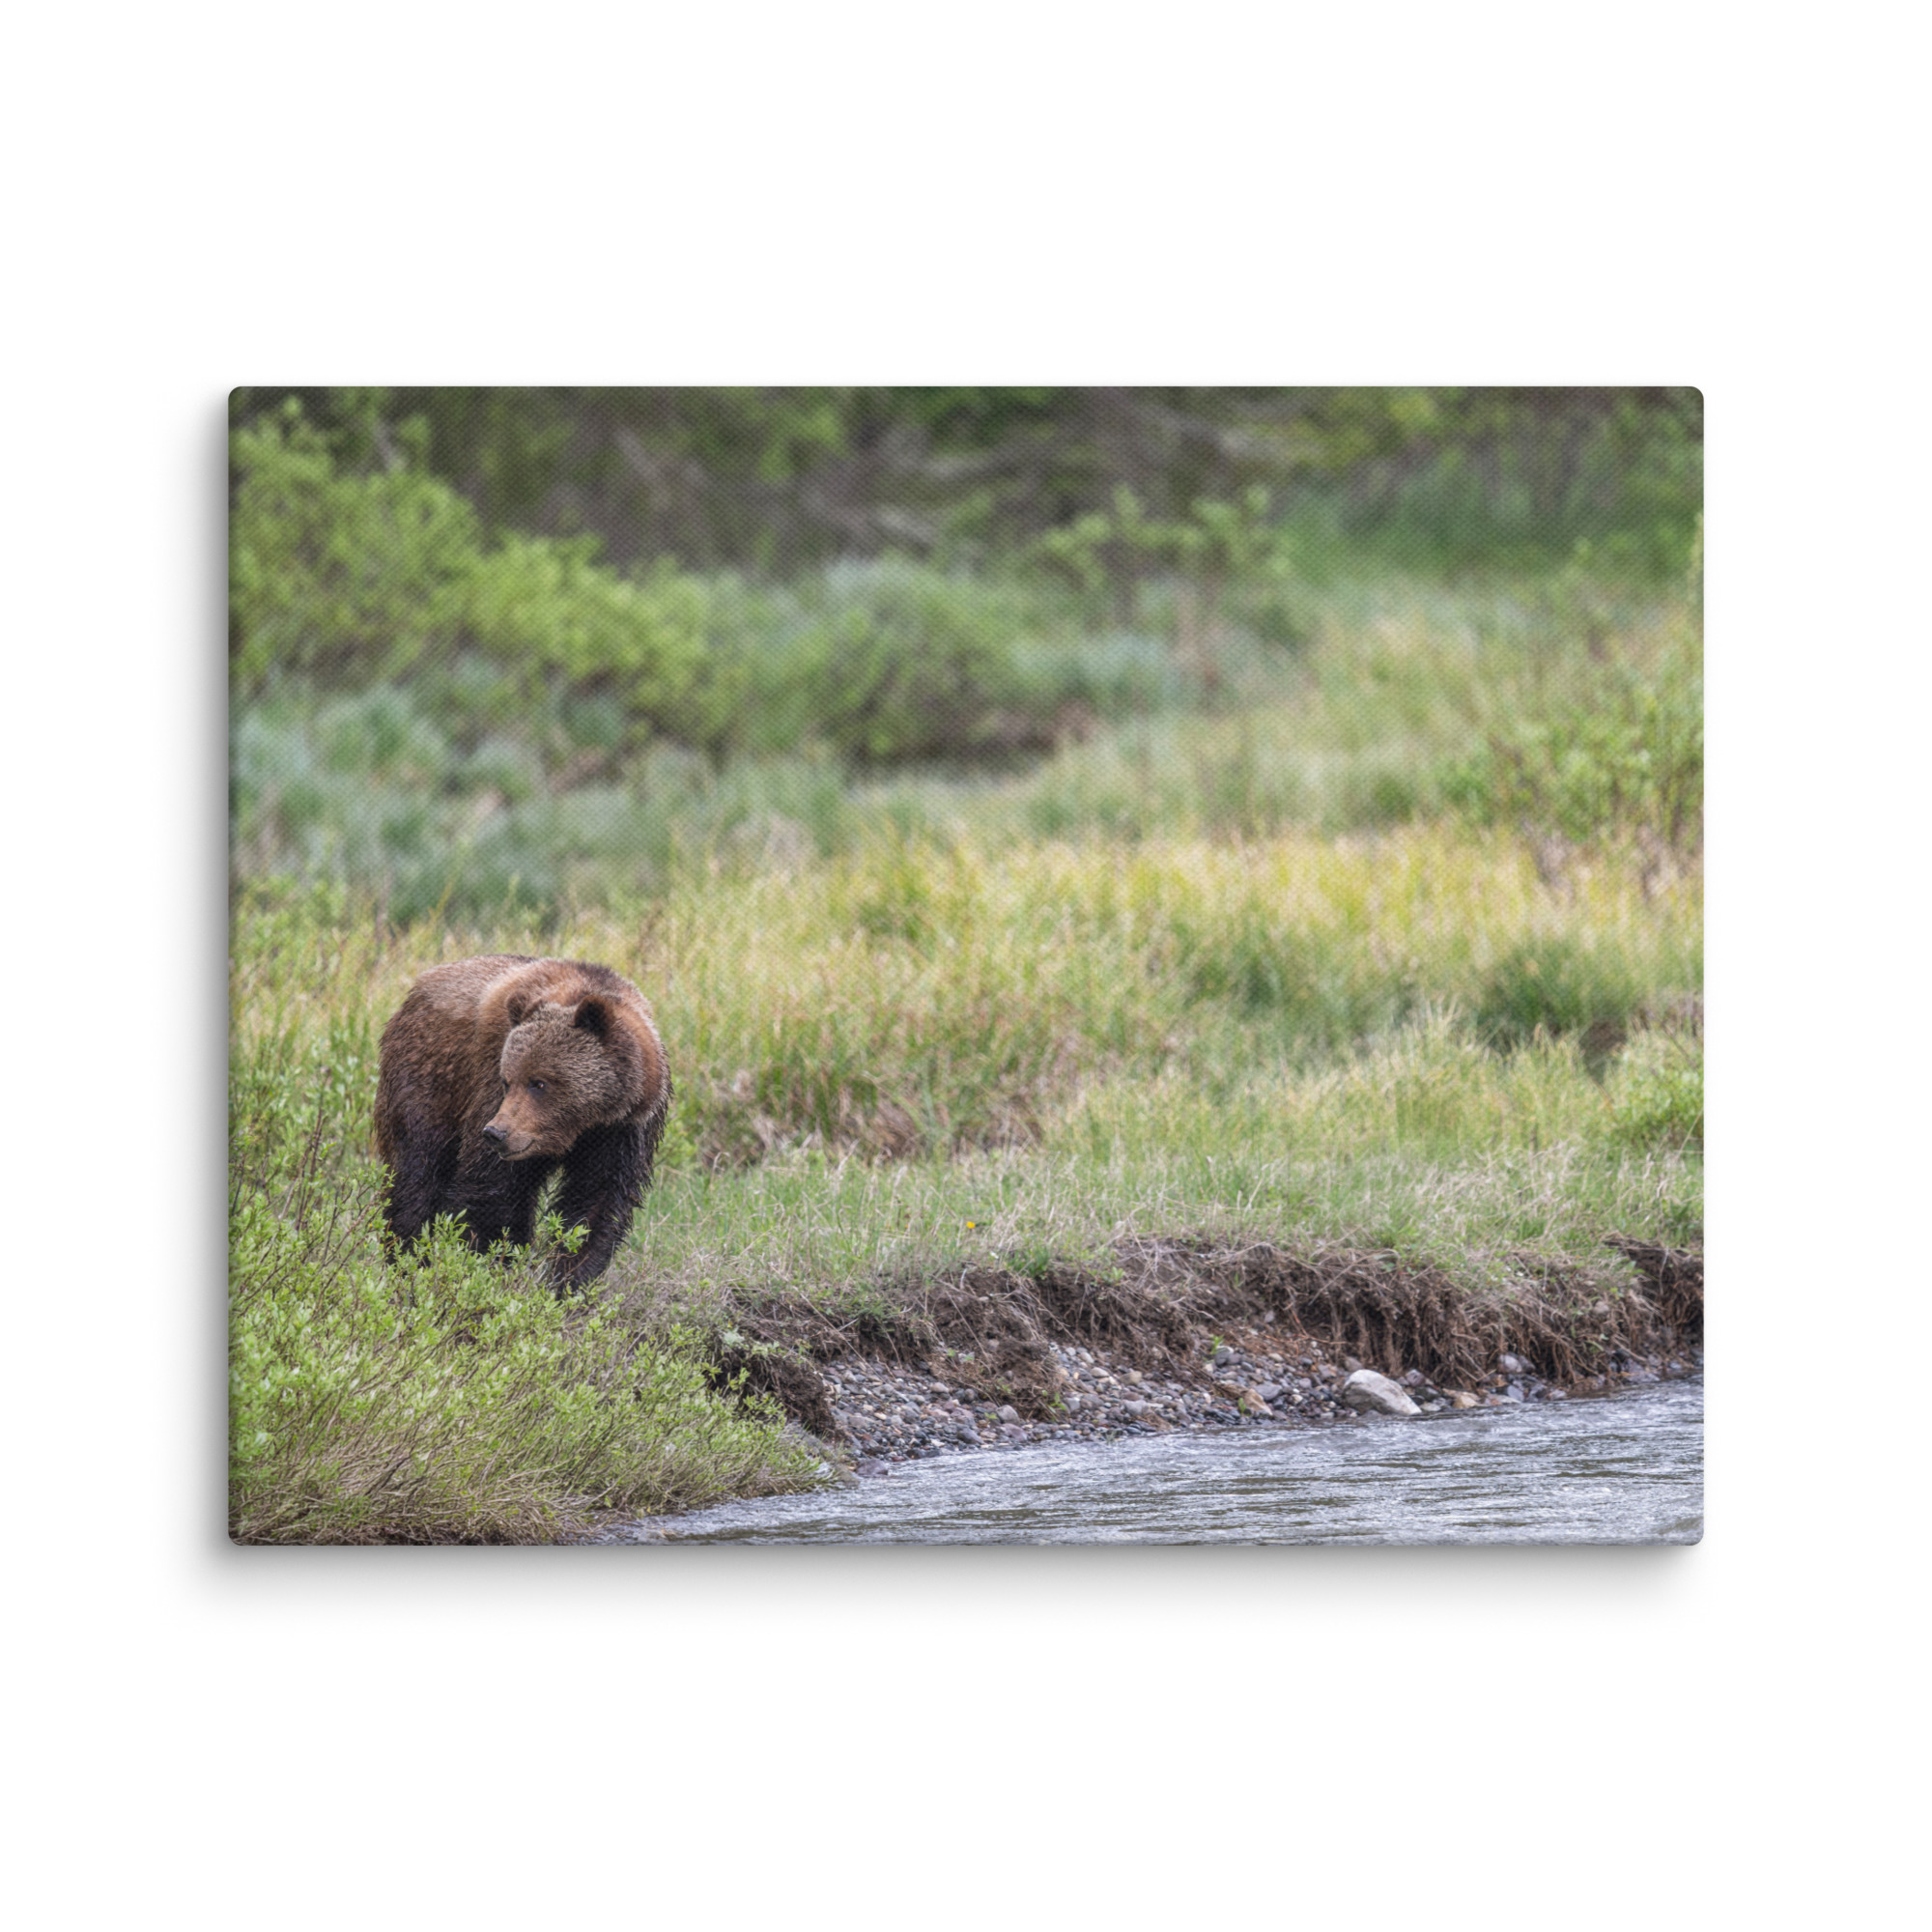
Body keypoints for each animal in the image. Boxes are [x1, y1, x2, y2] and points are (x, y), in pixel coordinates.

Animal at [373, 954, 672, 1291]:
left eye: (539, 1083)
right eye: (508, 1080)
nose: (496, 1133)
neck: (582, 1125)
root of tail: (417, 988)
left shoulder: (623, 1131)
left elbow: (596, 1203)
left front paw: (568, 1280)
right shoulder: (489, 1086)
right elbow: (492, 1193)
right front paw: (489, 1267)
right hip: (429, 1080)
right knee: (417, 1174)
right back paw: (408, 1262)